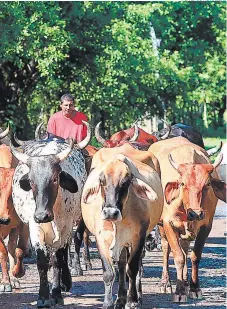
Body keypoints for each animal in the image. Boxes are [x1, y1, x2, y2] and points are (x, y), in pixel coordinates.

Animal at [10, 122, 90, 306]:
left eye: (55, 179)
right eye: (31, 181)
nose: (42, 216)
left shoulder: (66, 226)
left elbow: (58, 259)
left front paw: (56, 294)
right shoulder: (34, 227)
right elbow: (42, 260)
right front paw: (42, 297)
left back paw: (65, 282)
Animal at [80, 144, 164, 308]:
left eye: (126, 182)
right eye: (101, 181)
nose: (110, 212)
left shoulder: (139, 238)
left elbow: (132, 269)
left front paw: (132, 300)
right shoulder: (101, 239)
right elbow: (109, 272)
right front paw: (108, 303)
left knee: (133, 265)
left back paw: (136, 296)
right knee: (122, 263)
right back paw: (120, 299)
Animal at [148, 137, 226, 300]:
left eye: (207, 184)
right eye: (183, 183)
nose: (195, 214)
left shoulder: (206, 226)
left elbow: (195, 256)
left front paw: (194, 288)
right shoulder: (168, 224)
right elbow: (178, 257)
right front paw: (178, 291)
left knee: (184, 248)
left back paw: (184, 282)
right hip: (161, 227)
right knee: (166, 248)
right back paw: (165, 283)